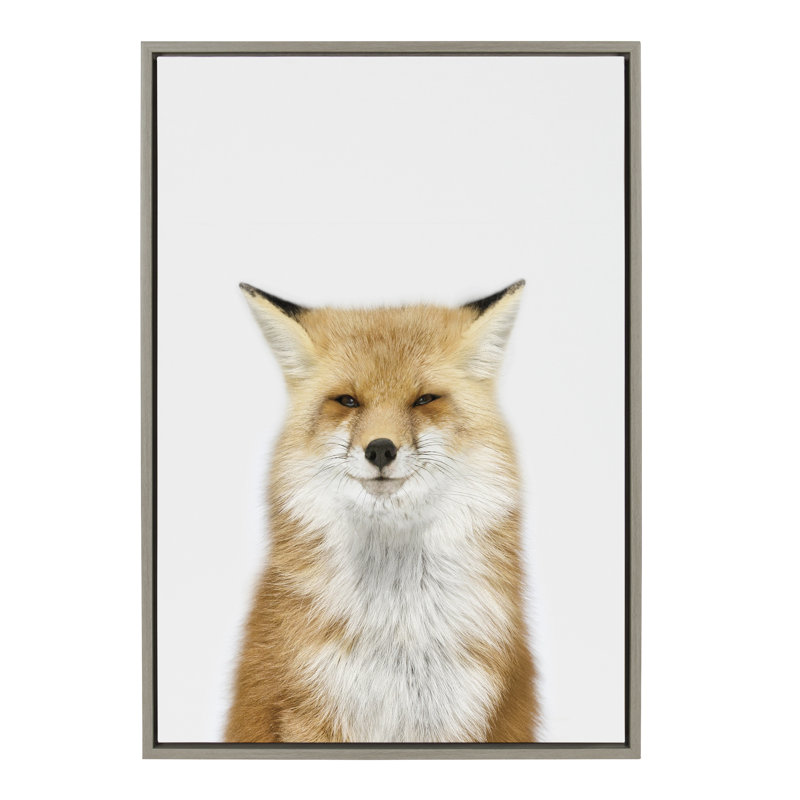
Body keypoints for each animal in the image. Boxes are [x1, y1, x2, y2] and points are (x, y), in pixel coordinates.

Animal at [225, 280, 538, 743]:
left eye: (424, 399)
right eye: (347, 401)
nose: (380, 449)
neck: (397, 631)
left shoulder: (461, 713)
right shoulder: (311, 710)